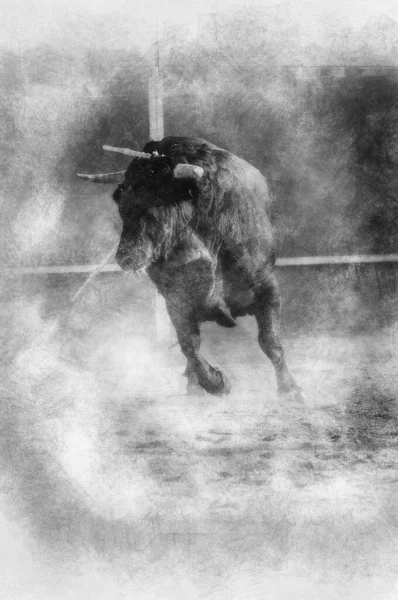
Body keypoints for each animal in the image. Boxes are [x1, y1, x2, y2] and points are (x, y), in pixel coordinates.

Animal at [77, 135, 302, 398]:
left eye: (156, 198)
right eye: (121, 202)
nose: (126, 256)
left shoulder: (266, 287)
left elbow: (270, 340)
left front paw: (290, 389)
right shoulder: (176, 300)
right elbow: (189, 346)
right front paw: (217, 382)